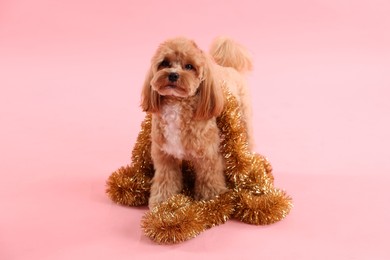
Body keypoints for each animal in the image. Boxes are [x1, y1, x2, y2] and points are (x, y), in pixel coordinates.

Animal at [140, 36, 253, 208]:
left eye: (189, 66)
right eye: (165, 63)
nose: (173, 75)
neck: (177, 104)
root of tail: (229, 67)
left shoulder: (208, 155)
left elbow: (209, 180)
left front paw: (212, 202)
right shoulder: (165, 156)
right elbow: (166, 180)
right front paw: (162, 202)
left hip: (243, 121)